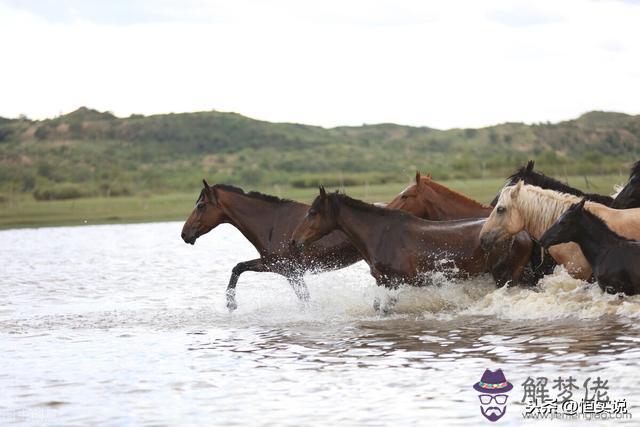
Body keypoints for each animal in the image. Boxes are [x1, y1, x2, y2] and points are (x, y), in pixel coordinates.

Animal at [292, 187, 532, 290]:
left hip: (504, 278)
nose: (294, 240)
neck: (380, 234)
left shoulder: (397, 281)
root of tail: (524, 235)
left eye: (313, 212)